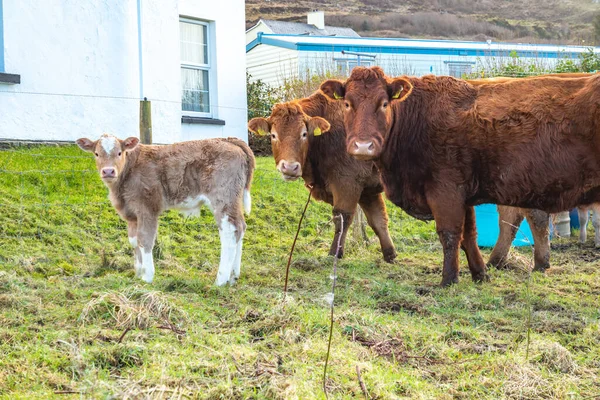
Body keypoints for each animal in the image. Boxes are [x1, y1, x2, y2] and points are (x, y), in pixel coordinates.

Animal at [76, 134, 254, 284]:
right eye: (96, 154)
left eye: (120, 152)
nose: (108, 171)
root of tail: (228, 139)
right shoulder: (132, 214)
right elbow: (133, 241)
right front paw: (138, 273)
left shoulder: (147, 208)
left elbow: (145, 239)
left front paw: (147, 276)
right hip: (233, 200)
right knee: (240, 227)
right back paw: (233, 276)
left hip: (223, 197)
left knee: (229, 231)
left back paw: (221, 280)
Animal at [248, 93, 398, 262]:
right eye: (273, 135)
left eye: (304, 134)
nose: (290, 167)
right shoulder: (367, 190)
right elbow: (378, 220)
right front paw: (390, 254)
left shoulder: (347, 182)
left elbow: (342, 218)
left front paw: (335, 253)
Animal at [322, 69, 600, 286]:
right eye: (347, 103)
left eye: (384, 103)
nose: (363, 146)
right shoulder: (463, 197)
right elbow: (469, 236)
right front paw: (480, 274)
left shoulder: (445, 191)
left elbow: (450, 234)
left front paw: (449, 279)